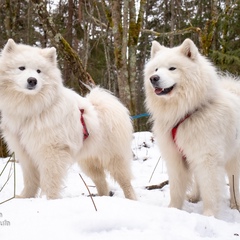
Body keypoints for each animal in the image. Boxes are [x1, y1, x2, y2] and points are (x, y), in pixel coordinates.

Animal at [0, 39, 136, 200]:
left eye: (39, 71)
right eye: (21, 68)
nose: (32, 80)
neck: (32, 109)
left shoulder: (51, 152)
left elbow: (49, 181)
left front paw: (50, 200)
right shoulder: (26, 154)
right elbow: (30, 180)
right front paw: (25, 198)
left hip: (114, 159)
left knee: (126, 182)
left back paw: (132, 199)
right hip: (88, 162)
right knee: (102, 181)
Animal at [144, 38, 240, 217]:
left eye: (172, 68)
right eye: (156, 69)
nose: (154, 78)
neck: (185, 114)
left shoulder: (207, 158)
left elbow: (210, 190)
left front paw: (209, 215)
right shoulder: (175, 157)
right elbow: (176, 189)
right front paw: (173, 209)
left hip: (233, 157)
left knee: (233, 181)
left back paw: (235, 205)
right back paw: (195, 196)